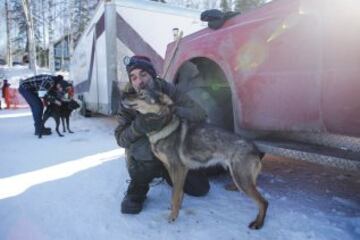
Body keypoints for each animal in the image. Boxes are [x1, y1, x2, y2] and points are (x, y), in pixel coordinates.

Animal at [121, 89, 268, 230]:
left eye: (141, 94)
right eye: (137, 91)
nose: (122, 95)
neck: (161, 127)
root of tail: (254, 148)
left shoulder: (178, 168)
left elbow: (175, 194)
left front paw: (173, 216)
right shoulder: (173, 169)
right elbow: (178, 192)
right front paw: (176, 209)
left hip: (242, 179)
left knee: (263, 202)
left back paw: (258, 223)